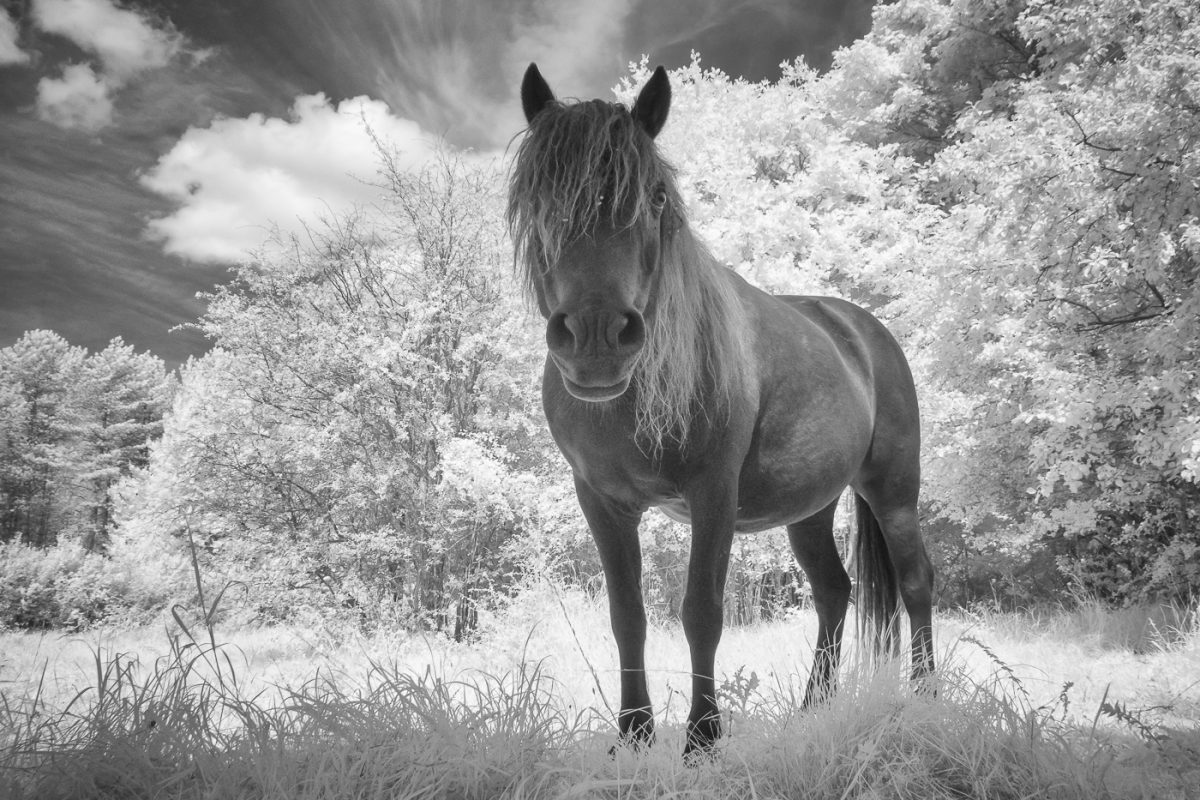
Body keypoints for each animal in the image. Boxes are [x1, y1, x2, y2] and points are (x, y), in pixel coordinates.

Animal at [506, 64, 936, 758]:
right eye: (539, 198)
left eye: (656, 197)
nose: (597, 337)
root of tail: (862, 327)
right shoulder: (601, 502)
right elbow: (627, 616)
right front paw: (633, 733)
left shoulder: (713, 494)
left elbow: (701, 611)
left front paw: (702, 738)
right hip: (810, 509)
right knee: (834, 592)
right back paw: (813, 708)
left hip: (894, 491)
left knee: (917, 581)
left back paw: (926, 697)